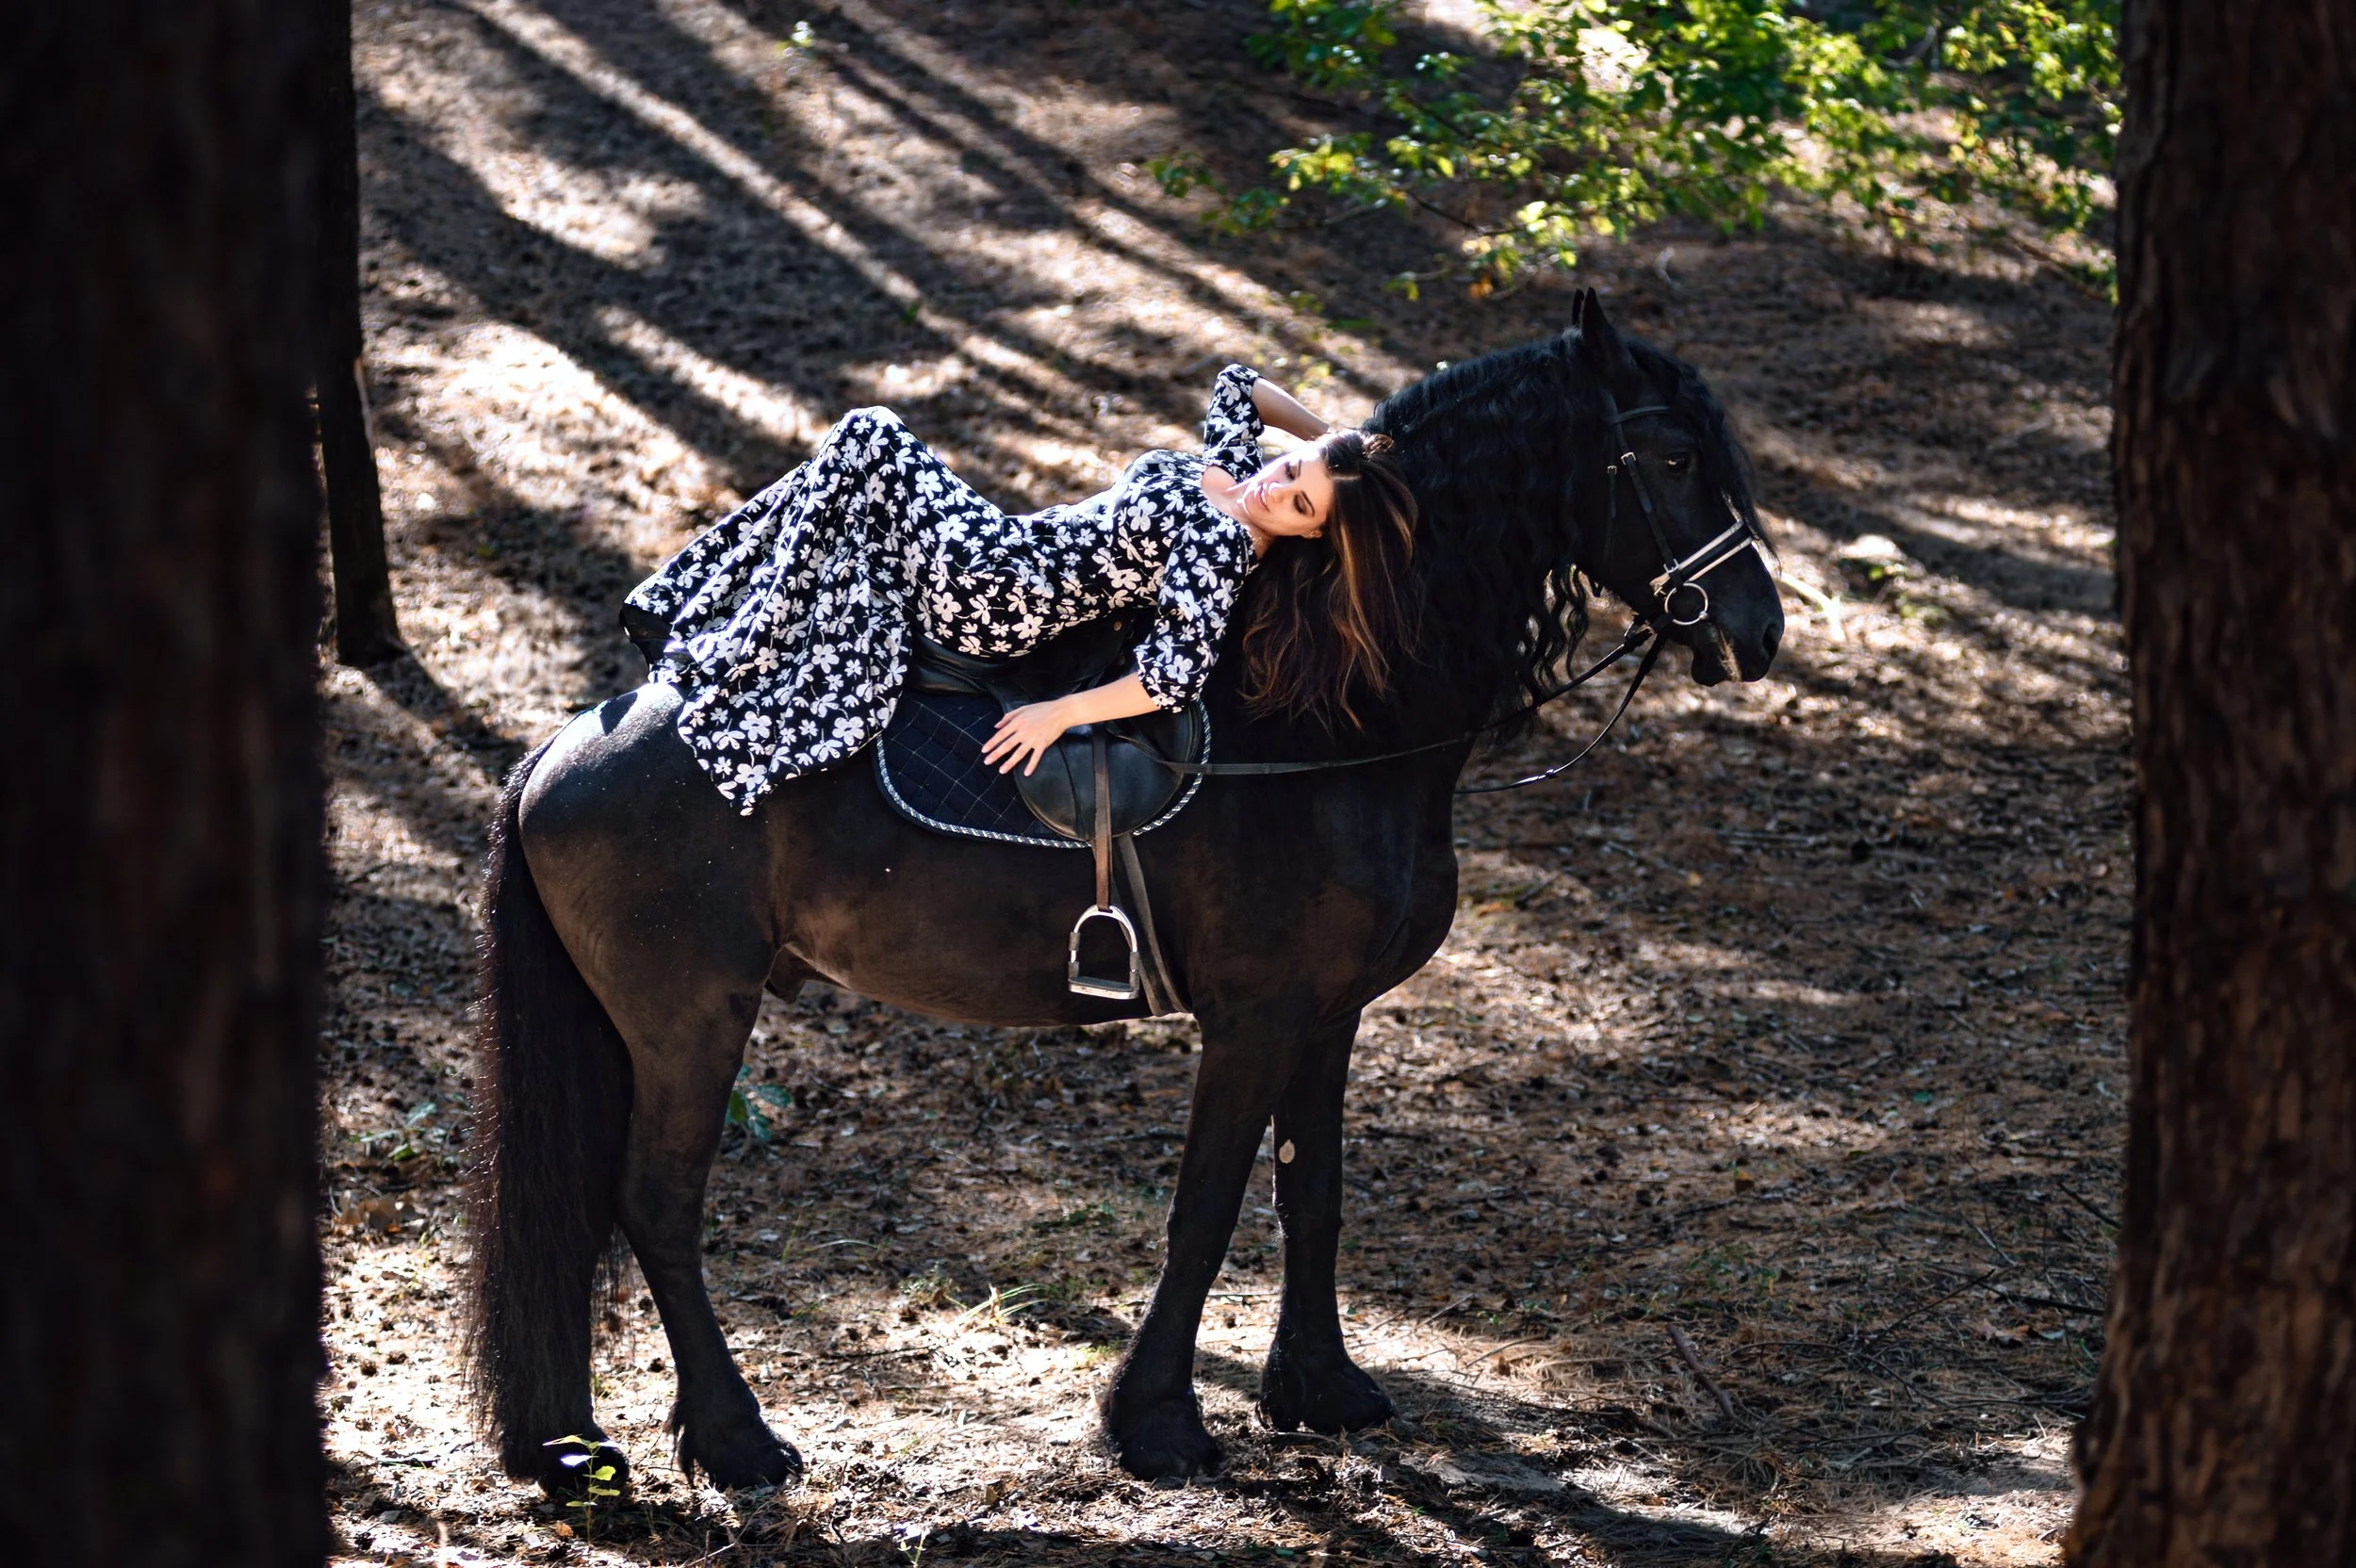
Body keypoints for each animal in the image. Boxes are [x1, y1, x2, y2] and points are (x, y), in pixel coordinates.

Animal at [463, 290, 1784, 1493]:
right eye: (1673, 457)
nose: (1758, 630)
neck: (1328, 719)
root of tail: (563, 748)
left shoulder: (1329, 1013)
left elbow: (1311, 1194)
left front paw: (1320, 1388)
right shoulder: (1254, 1016)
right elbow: (1205, 1209)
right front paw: (1155, 1423)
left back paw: (577, 1443)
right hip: (689, 1019)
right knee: (655, 1203)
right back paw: (735, 1441)